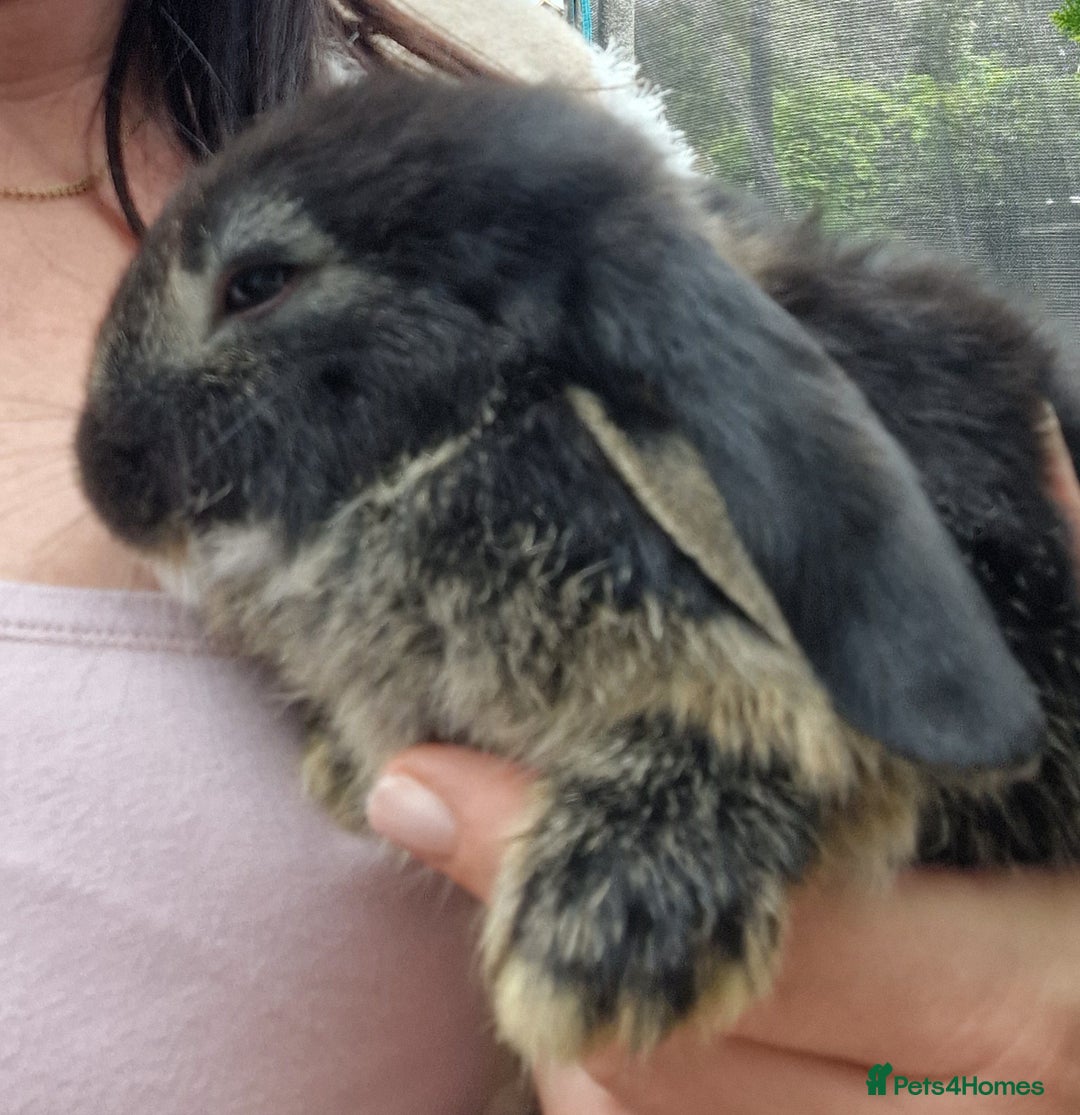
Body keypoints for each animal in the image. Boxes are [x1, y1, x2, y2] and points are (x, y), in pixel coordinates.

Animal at [77, 72, 1080, 1064]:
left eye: (257, 283)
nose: (100, 473)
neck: (472, 437)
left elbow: (799, 741)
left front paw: (603, 945)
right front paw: (344, 770)